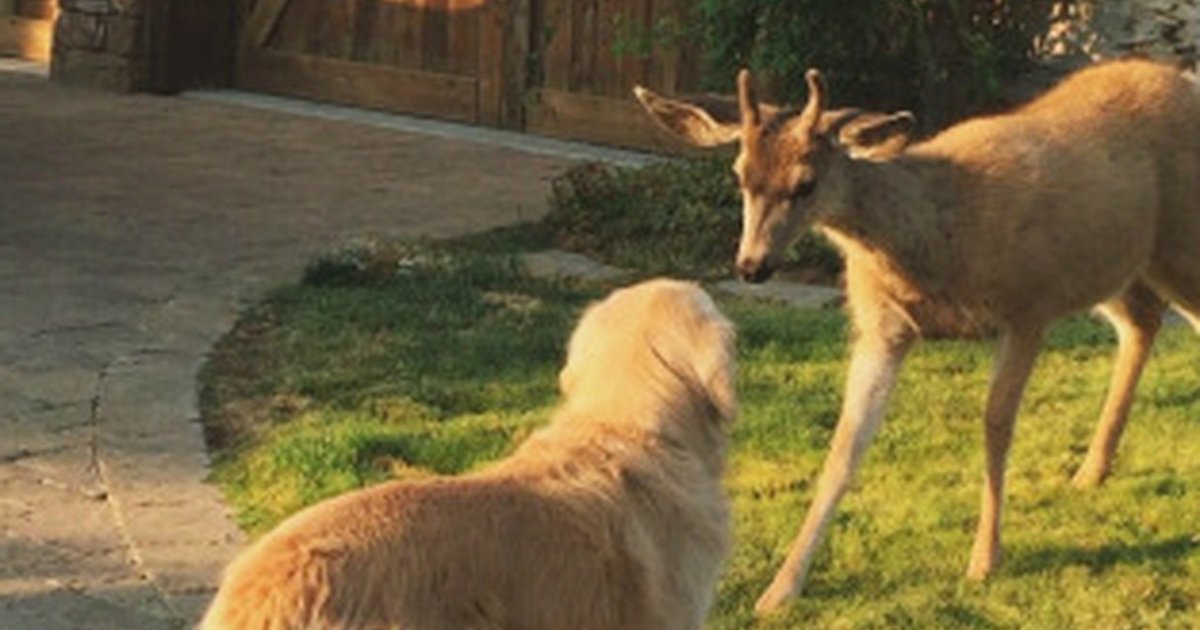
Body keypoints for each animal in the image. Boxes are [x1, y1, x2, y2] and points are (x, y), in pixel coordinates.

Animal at [633, 57, 1195, 609]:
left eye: (806, 183)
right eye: (740, 176)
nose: (751, 266)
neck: (935, 233)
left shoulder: (1028, 306)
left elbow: (996, 425)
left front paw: (984, 559)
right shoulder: (883, 329)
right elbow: (845, 445)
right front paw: (781, 588)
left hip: (1174, 246)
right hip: (1116, 267)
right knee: (1143, 321)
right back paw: (1091, 471)